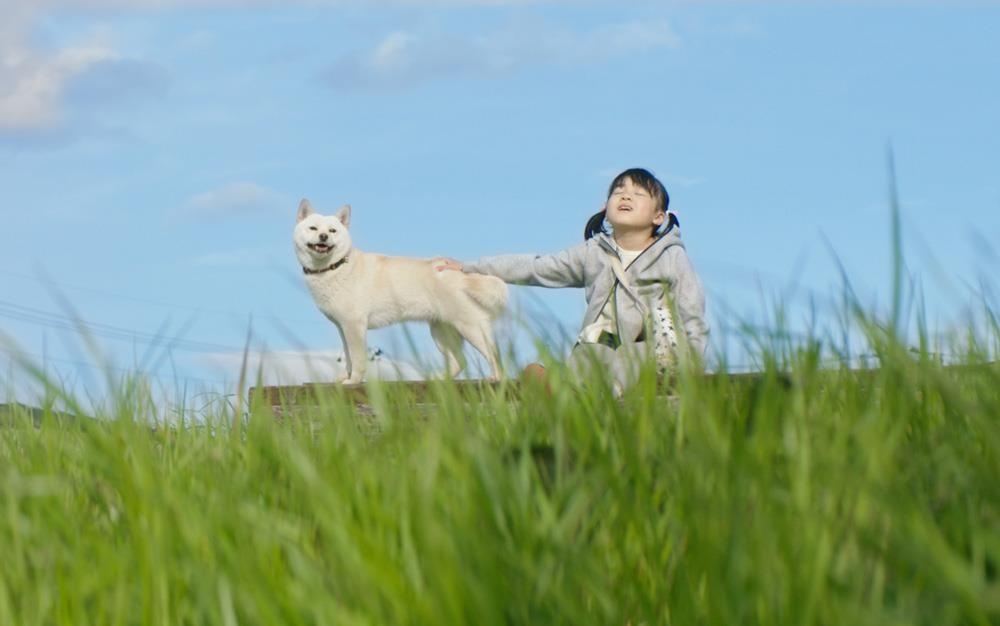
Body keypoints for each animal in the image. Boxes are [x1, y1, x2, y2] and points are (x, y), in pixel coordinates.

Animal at [292, 200, 508, 382]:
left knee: (494, 356)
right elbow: (348, 357)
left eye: (332, 230)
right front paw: (345, 377)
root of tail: (462, 274)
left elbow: (358, 359)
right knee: (460, 361)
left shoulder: (354, 325)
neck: (335, 267)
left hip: (470, 328)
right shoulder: (342, 327)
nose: (323, 236)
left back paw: (496, 379)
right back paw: (439, 381)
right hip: (441, 333)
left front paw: (353, 381)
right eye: (313, 228)